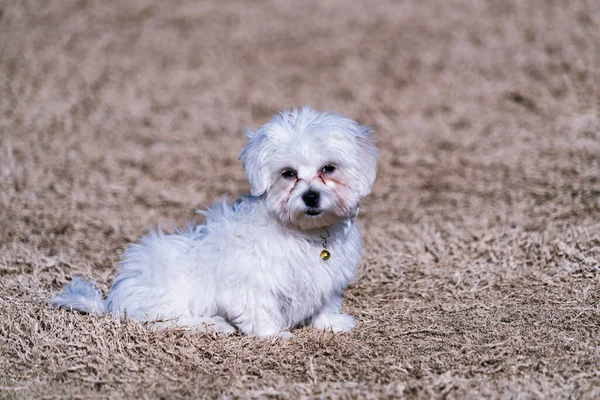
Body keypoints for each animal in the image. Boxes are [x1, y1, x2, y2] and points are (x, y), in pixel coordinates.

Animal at [52, 107, 380, 338]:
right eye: (288, 174)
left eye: (328, 168)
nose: (311, 196)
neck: (305, 233)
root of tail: (114, 302)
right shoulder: (251, 280)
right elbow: (259, 307)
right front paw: (273, 335)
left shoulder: (327, 278)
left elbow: (325, 301)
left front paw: (330, 323)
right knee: (162, 321)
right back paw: (213, 324)